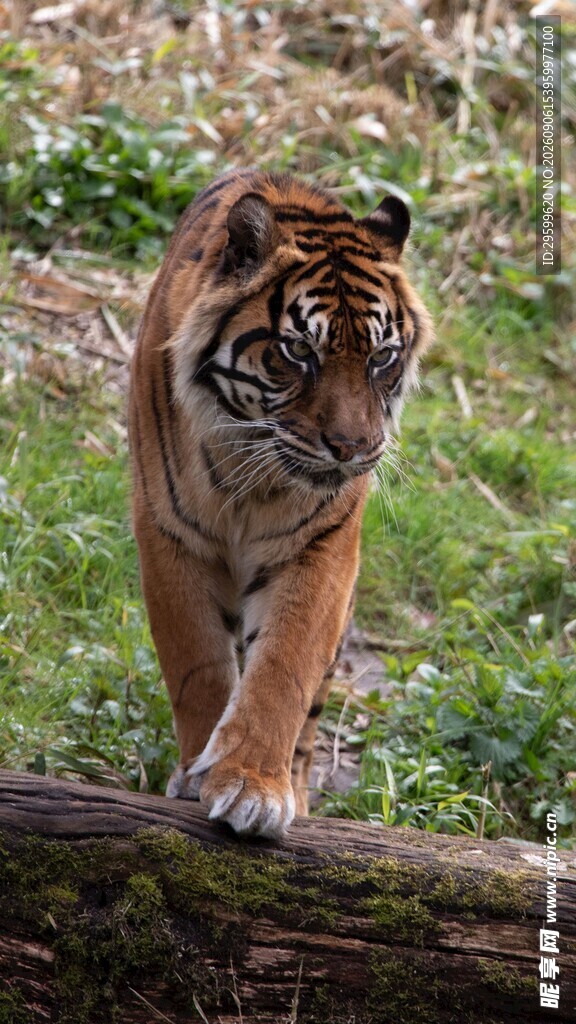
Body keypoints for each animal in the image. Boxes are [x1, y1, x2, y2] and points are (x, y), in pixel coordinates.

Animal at [129, 168, 433, 839]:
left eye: (381, 357)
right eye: (299, 352)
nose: (352, 448)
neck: (254, 467)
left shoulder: (322, 547)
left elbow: (284, 667)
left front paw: (253, 787)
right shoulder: (169, 533)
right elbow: (197, 662)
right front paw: (197, 774)